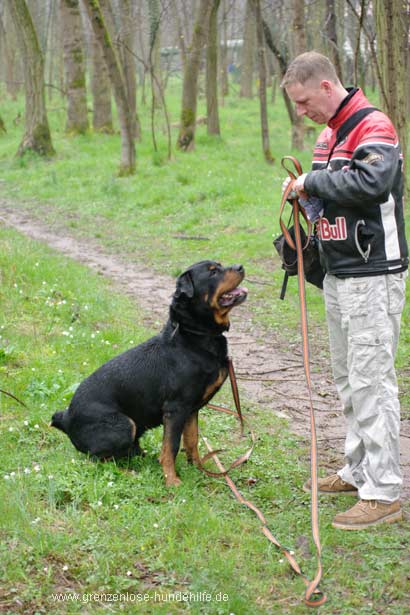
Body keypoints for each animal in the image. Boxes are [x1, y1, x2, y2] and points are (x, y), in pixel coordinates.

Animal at [51, 261, 247, 486]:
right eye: (213, 272)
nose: (240, 266)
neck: (194, 335)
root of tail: (66, 418)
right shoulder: (176, 409)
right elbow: (170, 447)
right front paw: (172, 481)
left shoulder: (191, 410)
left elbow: (192, 440)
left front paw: (200, 470)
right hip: (123, 424)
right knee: (97, 460)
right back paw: (130, 473)